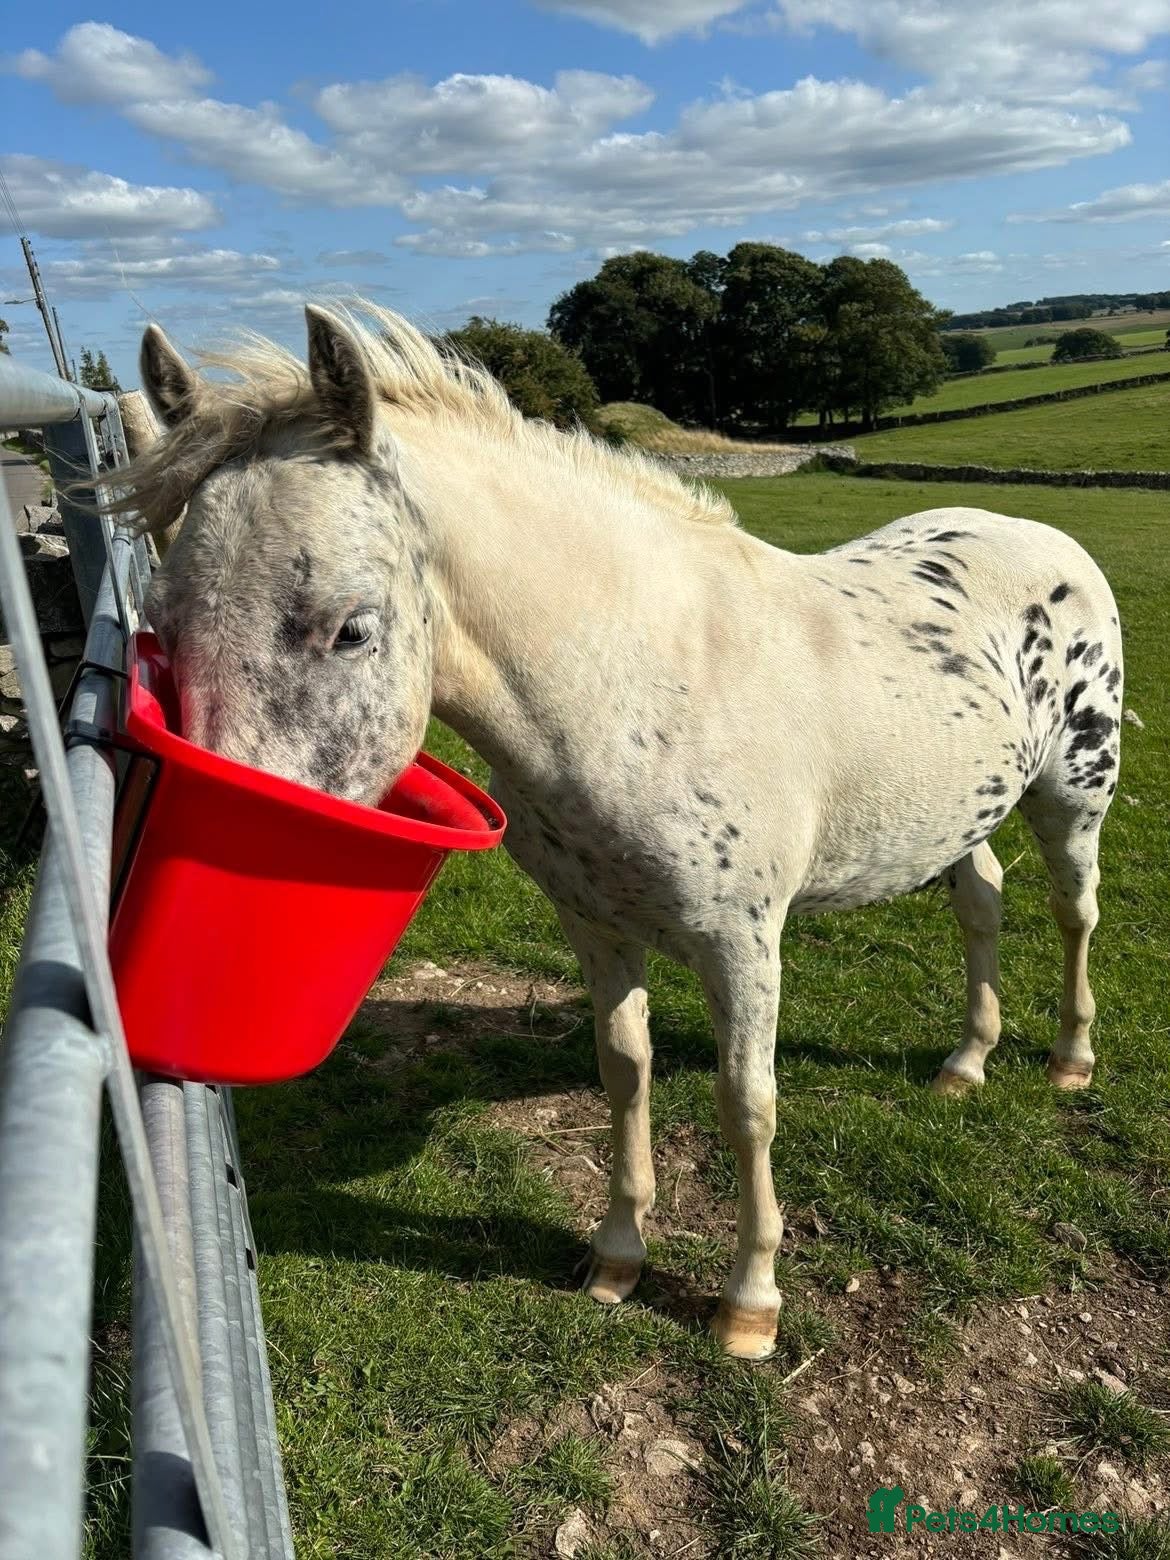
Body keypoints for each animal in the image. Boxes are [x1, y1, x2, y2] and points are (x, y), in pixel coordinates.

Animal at [111, 301, 1123, 1359]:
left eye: (349, 627)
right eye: (165, 621)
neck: (647, 683)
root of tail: (1043, 537)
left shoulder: (743, 944)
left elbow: (746, 1104)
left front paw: (750, 1304)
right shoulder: (596, 928)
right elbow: (624, 1072)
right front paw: (618, 1258)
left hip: (1074, 796)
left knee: (1073, 913)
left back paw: (1069, 1060)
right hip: (960, 814)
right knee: (982, 904)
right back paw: (966, 1063)